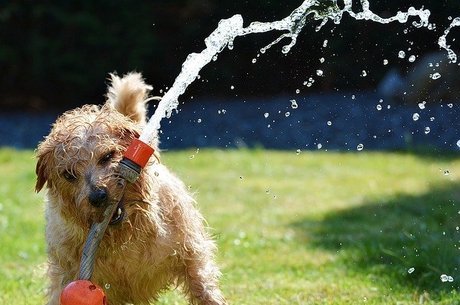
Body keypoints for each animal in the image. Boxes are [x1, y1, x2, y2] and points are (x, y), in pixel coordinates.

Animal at [35, 72, 227, 302]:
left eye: (108, 156)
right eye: (68, 174)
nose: (98, 196)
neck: (125, 235)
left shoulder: (191, 253)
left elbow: (202, 285)